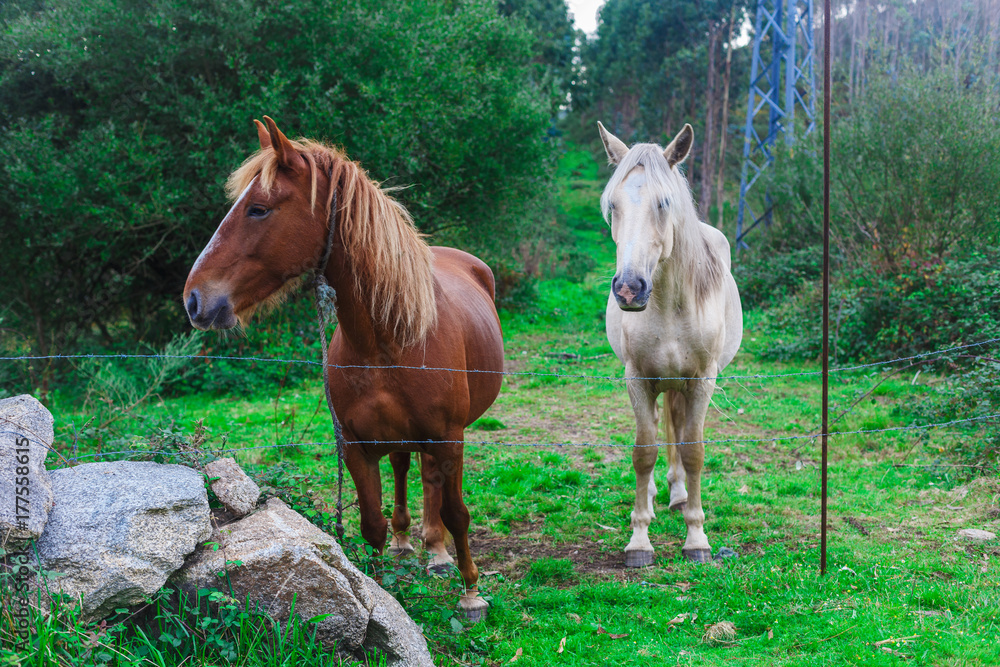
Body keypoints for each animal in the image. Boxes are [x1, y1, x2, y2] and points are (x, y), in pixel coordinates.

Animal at [183, 116, 504, 619]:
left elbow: (457, 513)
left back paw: (437, 552)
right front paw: (380, 593)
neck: (387, 341)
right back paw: (411, 543)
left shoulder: (450, 438)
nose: (194, 299)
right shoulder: (355, 445)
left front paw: (471, 592)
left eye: (258, 209)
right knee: (406, 468)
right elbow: (371, 523)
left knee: (434, 480)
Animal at [597, 122, 743, 565]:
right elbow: (644, 451)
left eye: (664, 203)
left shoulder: (702, 380)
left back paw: (679, 495)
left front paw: (697, 538)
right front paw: (639, 539)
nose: (629, 289)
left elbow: (693, 449)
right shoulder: (639, 379)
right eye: (612, 206)